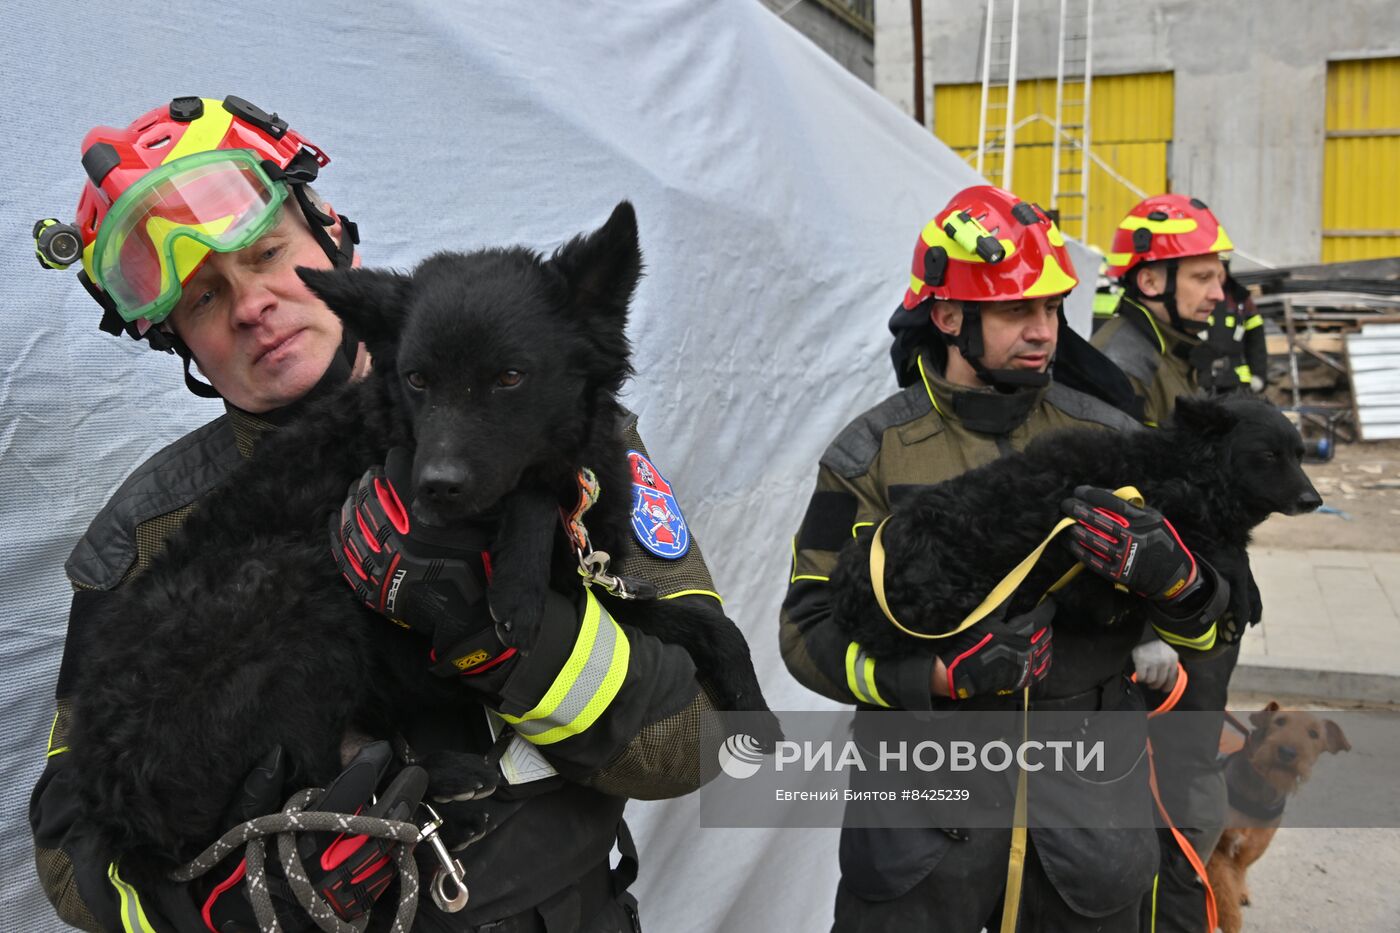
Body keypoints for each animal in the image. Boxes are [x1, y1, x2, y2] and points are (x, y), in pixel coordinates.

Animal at [1209, 697, 1349, 930]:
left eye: (1314, 734)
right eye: (1280, 721)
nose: (1287, 752)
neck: (1257, 793)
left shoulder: (1247, 852)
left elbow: (1234, 882)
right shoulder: (1216, 851)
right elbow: (1223, 893)